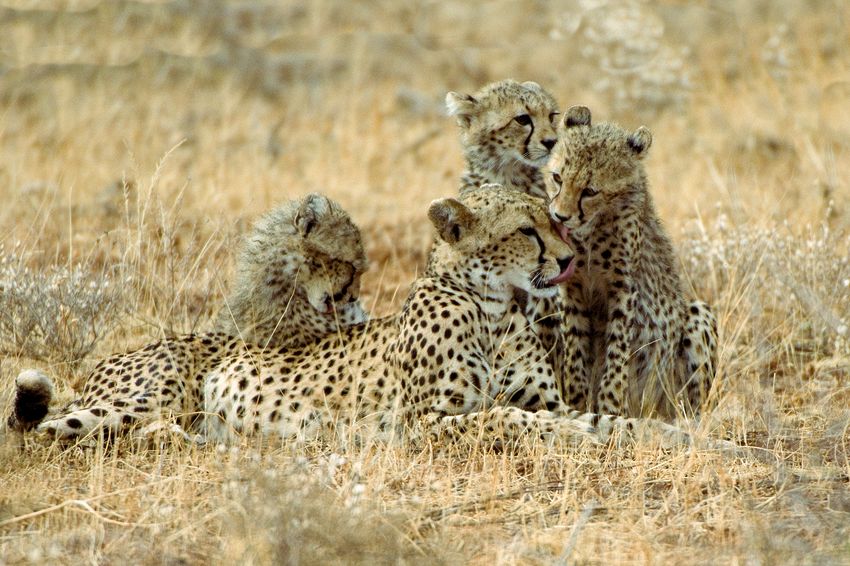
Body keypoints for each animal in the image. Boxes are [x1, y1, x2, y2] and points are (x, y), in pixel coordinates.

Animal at [202, 184, 703, 450]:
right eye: (526, 230)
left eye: (552, 221)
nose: (568, 261)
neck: (491, 309)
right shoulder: (415, 424)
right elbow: (504, 416)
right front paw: (565, 432)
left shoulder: (550, 399)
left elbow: (616, 422)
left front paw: (690, 438)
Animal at [545, 105, 718, 419]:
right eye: (557, 178)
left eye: (590, 191)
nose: (560, 216)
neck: (591, 229)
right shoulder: (572, 290)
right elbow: (575, 351)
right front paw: (577, 404)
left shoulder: (624, 290)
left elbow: (617, 353)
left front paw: (611, 409)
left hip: (698, 314)